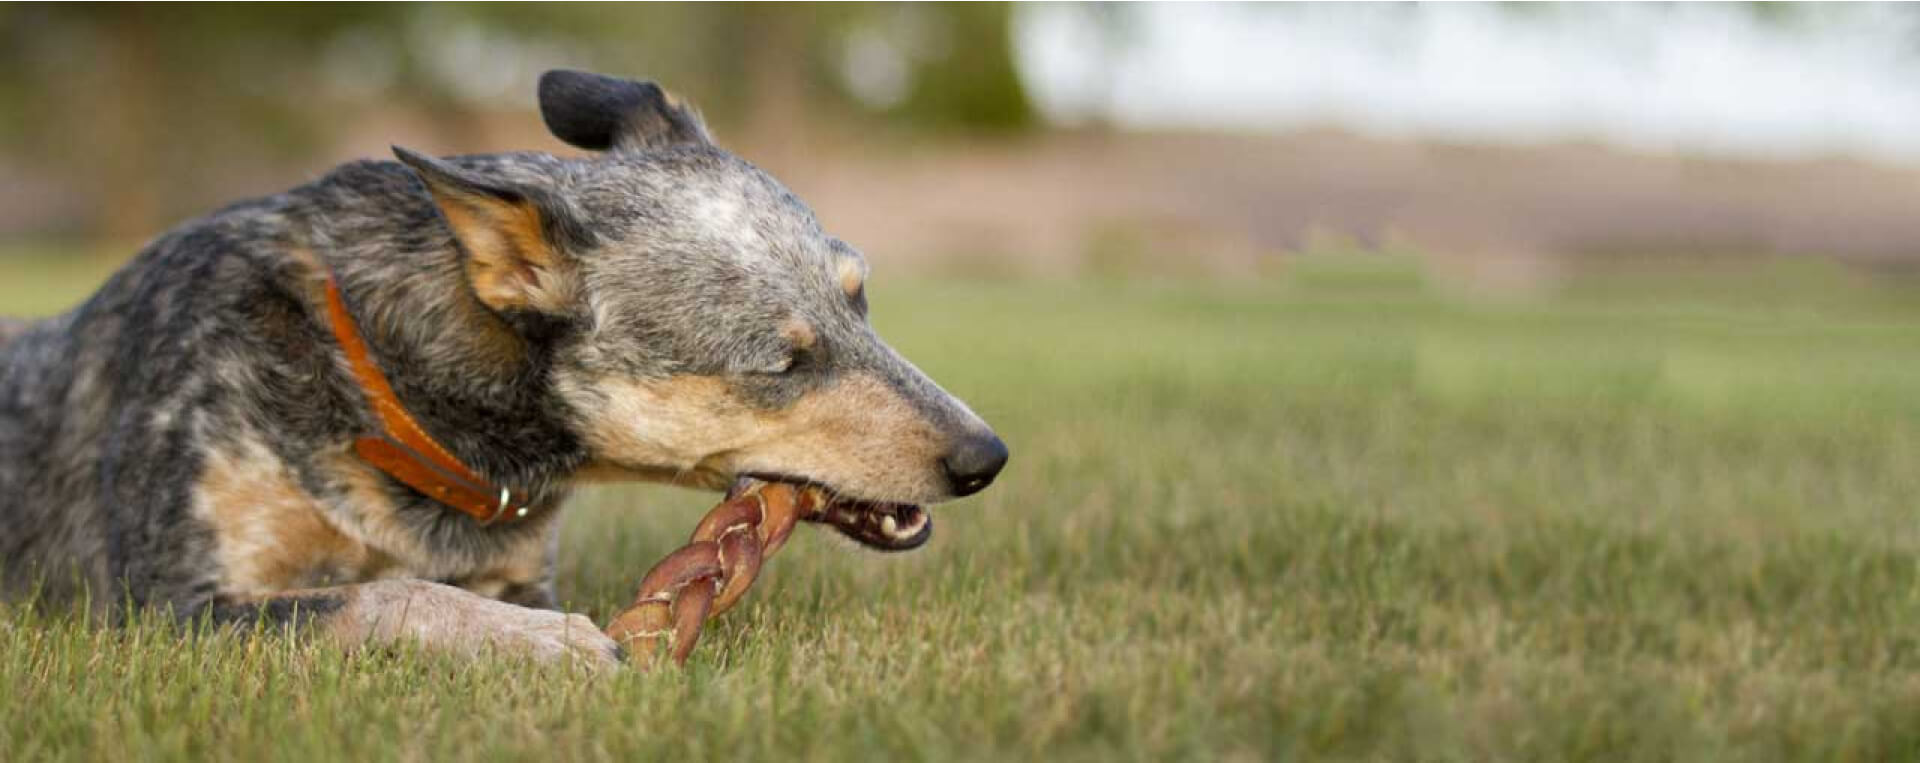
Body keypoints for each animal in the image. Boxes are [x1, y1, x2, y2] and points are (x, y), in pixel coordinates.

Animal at [0, 71, 1013, 664]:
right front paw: (551, 642)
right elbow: (385, 593)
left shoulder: (520, 567)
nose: (987, 455)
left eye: (859, 298)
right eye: (783, 361)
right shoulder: (168, 605)